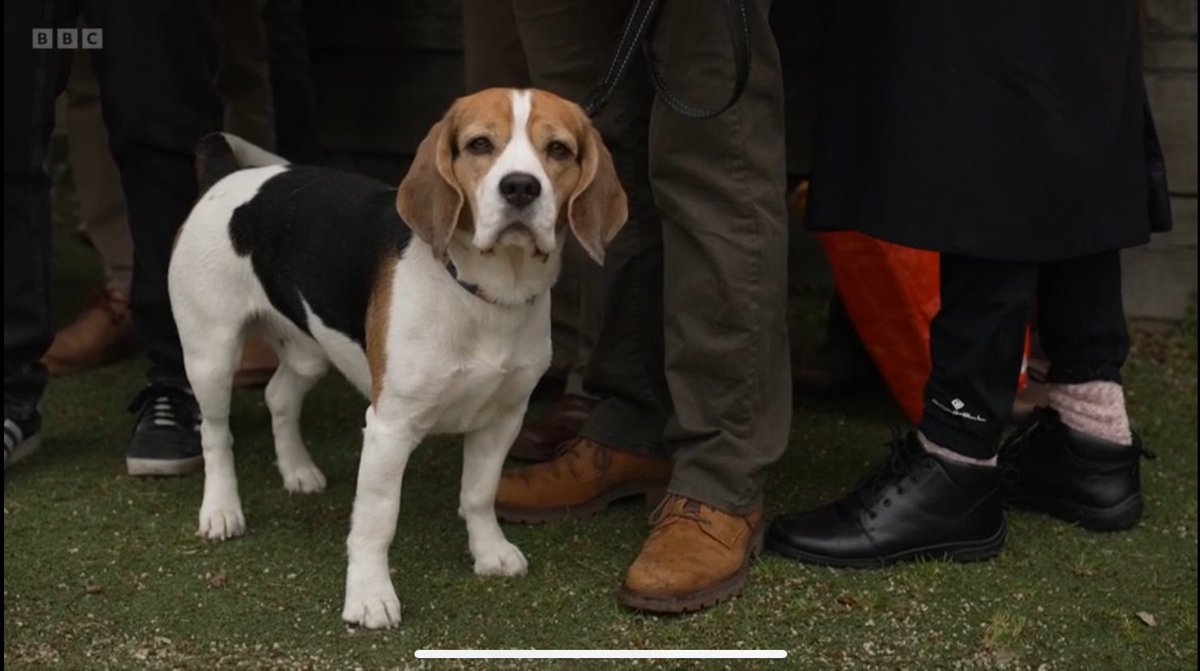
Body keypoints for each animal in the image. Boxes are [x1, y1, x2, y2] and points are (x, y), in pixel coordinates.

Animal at [169, 86, 628, 628]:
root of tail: (225, 176)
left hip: (309, 351)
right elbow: (377, 519)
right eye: (479, 144)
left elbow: (479, 494)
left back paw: (298, 471)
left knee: (278, 394)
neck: (483, 293)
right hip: (211, 353)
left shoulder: (503, 418)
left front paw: (489, 552)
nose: (520, 188)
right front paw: (369, 596)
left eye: (557, 150)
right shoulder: (390, 428)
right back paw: (221, 510)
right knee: (216, 433)